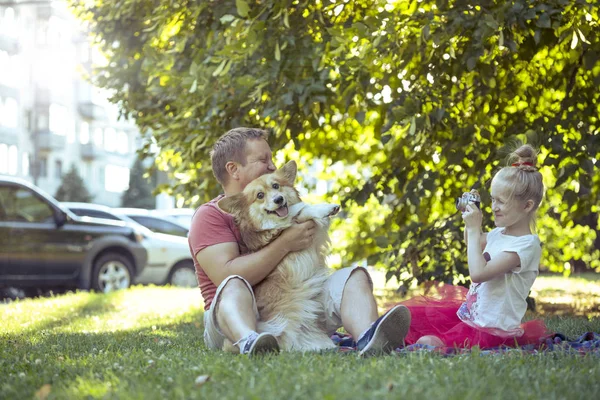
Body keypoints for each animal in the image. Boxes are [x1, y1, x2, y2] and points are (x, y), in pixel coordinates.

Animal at [219, 161, 342, 352]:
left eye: (276, 186)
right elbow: (302, 209)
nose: (278, 200)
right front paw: (325, 208)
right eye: (260, 195)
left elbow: (302, 208)